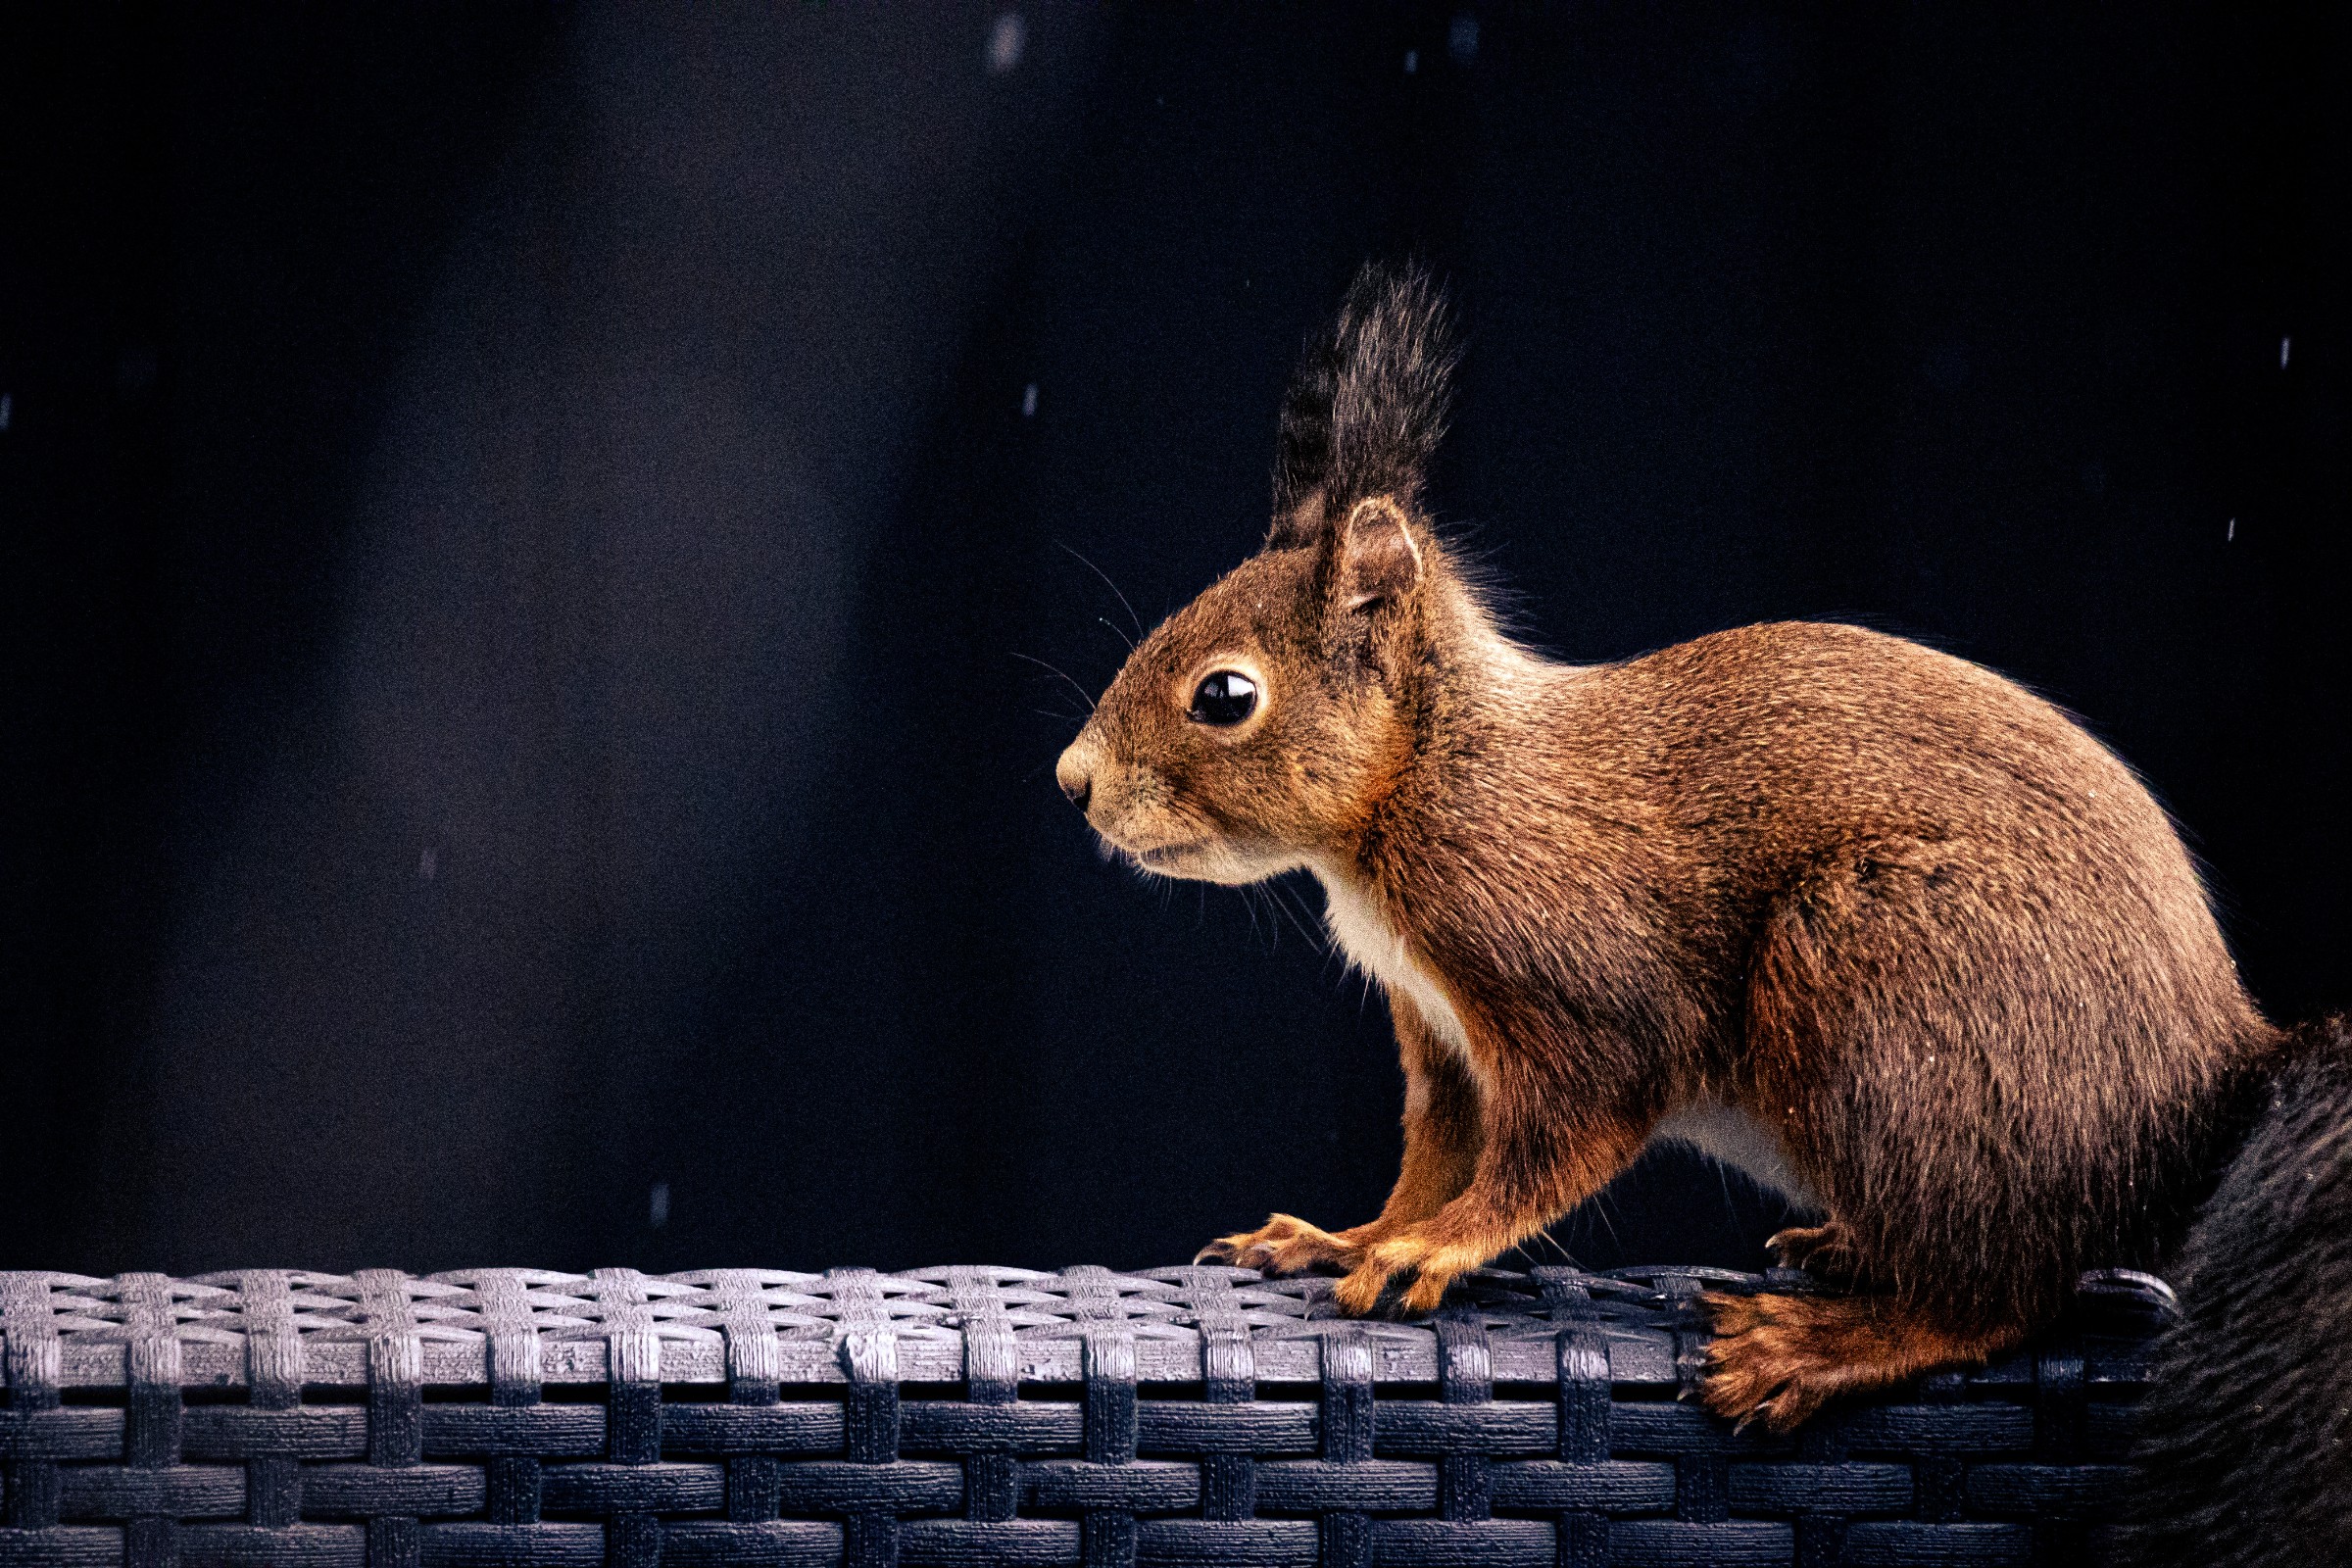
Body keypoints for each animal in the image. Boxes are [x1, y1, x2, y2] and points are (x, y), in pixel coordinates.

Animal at [1052, 262, 2342, 1475]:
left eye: (1226, 695)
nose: (1072, 781)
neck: (1431, 779)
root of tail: (2213, 1080)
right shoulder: (1443, 1035)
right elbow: (1438, 1153)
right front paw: (1350, 1237)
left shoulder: (1575, 980)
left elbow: (1555, 1140)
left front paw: (1436, 1245)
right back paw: (1844, 1254)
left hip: (1882, 974)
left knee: (2000, 1293)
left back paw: (1824, 1343)